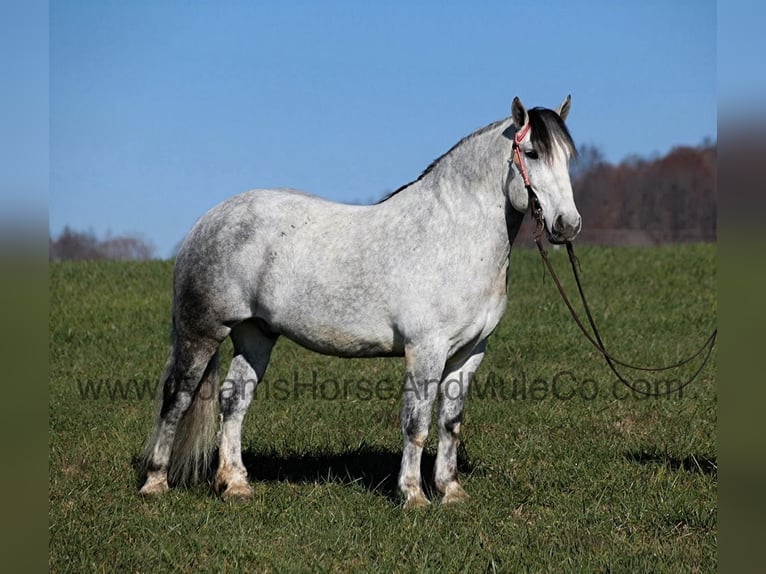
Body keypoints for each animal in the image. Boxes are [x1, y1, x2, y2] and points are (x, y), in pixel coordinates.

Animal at [140, 95, 581, 508]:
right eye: (531, 153)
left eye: (568, 158)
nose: (567, 225)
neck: (451, 234)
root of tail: (208, 221)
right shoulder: (426, 349)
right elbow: (416, 422)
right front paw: (413, 496)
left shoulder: (470, 352)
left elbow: (450, 423)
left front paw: (451, 492)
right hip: (202, 332)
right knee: (177, 399)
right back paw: (155, 483)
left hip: (255, 335)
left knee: (234, 402)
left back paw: (235, 485)